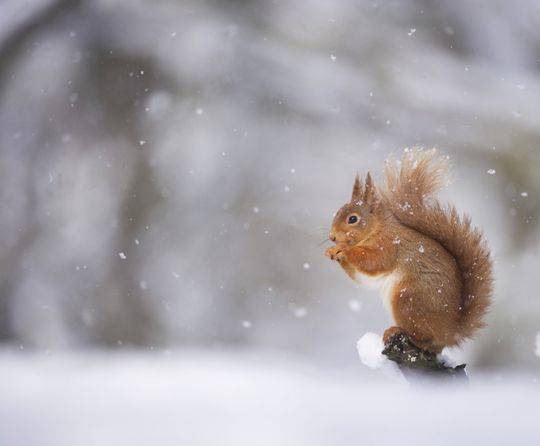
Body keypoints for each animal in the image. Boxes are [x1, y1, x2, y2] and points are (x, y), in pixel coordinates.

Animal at [324, 149, 494, 352]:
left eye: (353, 219)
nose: (332, 237)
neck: (378, 229)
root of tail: (451, 334)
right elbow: (362, 278)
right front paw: (332, 252)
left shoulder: (390, 246)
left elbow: (373, 262)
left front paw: (344, 250)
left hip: (408, 300)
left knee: (424, 339)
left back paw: (398, 332)